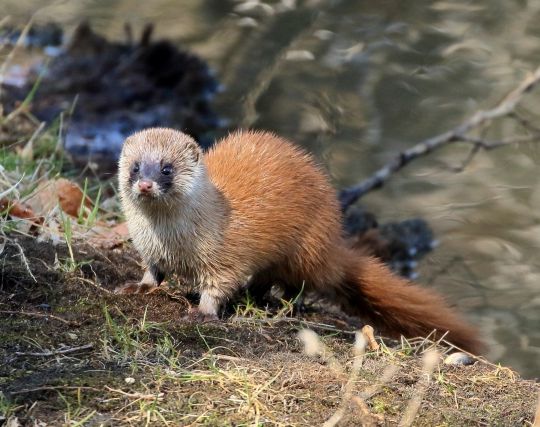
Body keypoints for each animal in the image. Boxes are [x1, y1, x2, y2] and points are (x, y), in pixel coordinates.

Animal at [117, 128, 480, 354]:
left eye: (166, 168)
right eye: (135, 167)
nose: (146, 184)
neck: (171, 242)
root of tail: (333, 242)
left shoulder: (225, 257)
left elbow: (219, 285)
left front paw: (203, 313)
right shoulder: (149, 250)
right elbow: (152, 271)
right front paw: (137, 286)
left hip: (304, 248)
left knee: (299, 282)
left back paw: (284, 303)